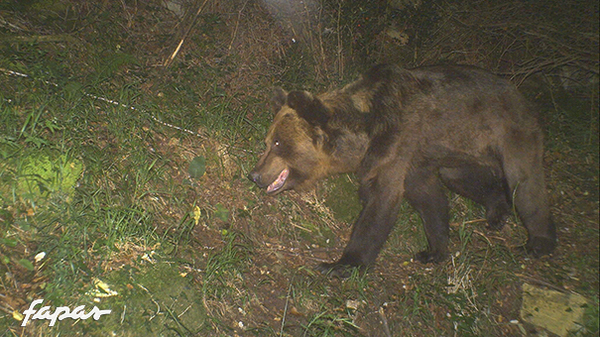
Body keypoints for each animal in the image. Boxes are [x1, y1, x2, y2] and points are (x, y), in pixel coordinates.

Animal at [246, 64, 556, 274]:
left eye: (278, 143)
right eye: (267, 141)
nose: (255, 175)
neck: (365, 132)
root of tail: (522, 96)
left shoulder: (395, 145)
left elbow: (380, 203)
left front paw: (342, 263)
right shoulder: (417, 160)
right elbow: (429, 200)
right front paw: (433, 250)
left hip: (513, 132)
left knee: (525, 185)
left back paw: (538, 243)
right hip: (462, 151)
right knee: (465, 179)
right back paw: (497, 212)